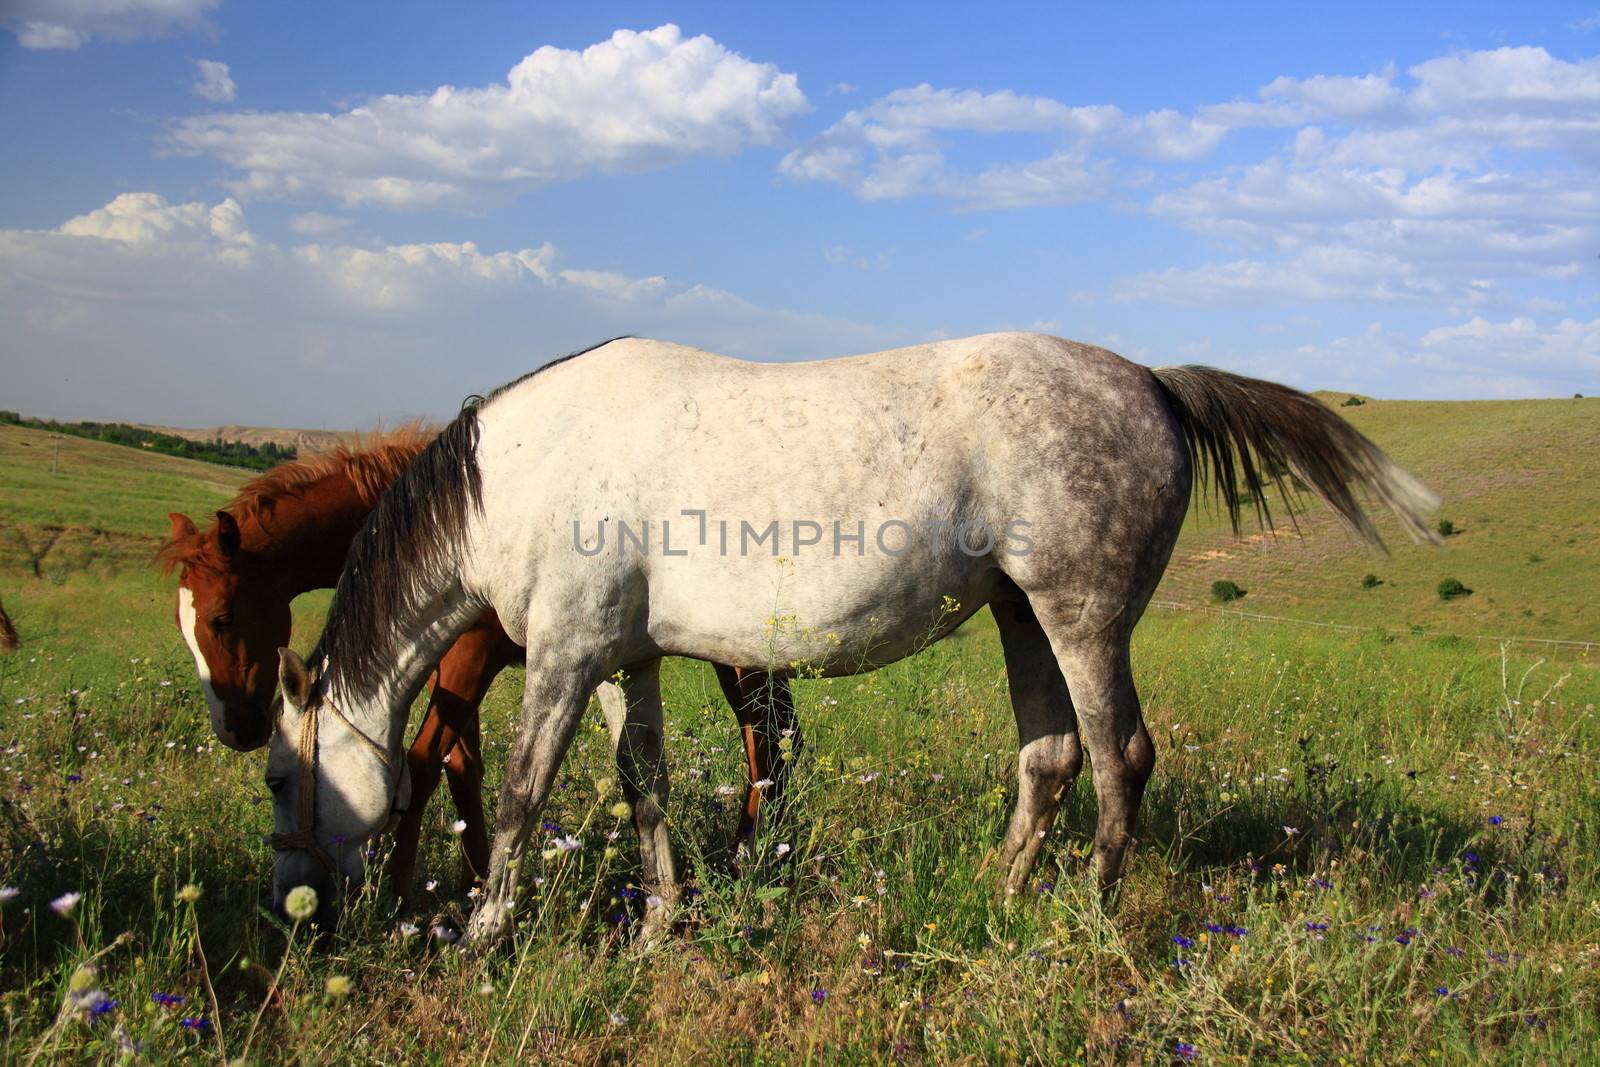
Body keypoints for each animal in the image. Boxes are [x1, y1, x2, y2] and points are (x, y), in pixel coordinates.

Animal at [159, 428, 796, 895]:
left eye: (221, 617)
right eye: (183, 625)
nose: (236, 728)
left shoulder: (470, 658)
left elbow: (422, 763)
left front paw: (403, 893)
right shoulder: (449, 669)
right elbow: (461, 767)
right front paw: (468, 877)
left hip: (737, 659)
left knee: (765, 742)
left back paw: (748, 860)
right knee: (775, 739)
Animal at [265, 329, 1440, 940]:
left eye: (280, 777)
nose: (297, 913)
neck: (524, 466)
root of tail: (1154, 381)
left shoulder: (560, 657)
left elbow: (518, 794)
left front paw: (483, 932)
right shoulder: (617, 660)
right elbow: (643, 783)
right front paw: (660, 921)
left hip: (1082, 619)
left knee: (1121, 758)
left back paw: (1088, 919)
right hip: (1022, 617)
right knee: (1051, 758)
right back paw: (998, 896)